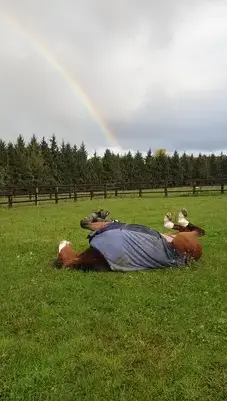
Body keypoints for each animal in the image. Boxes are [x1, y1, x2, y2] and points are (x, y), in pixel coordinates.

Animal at [54, 209, 205, 272]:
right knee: (194, 230)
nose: (63, 242)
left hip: (178, 236)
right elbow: (85, 223)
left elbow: (86, 223)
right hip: (181, 238)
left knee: (194, 230)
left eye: (60, 254)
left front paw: (100, 215)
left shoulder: (104, 226)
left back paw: (175, 218)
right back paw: (175, 219)